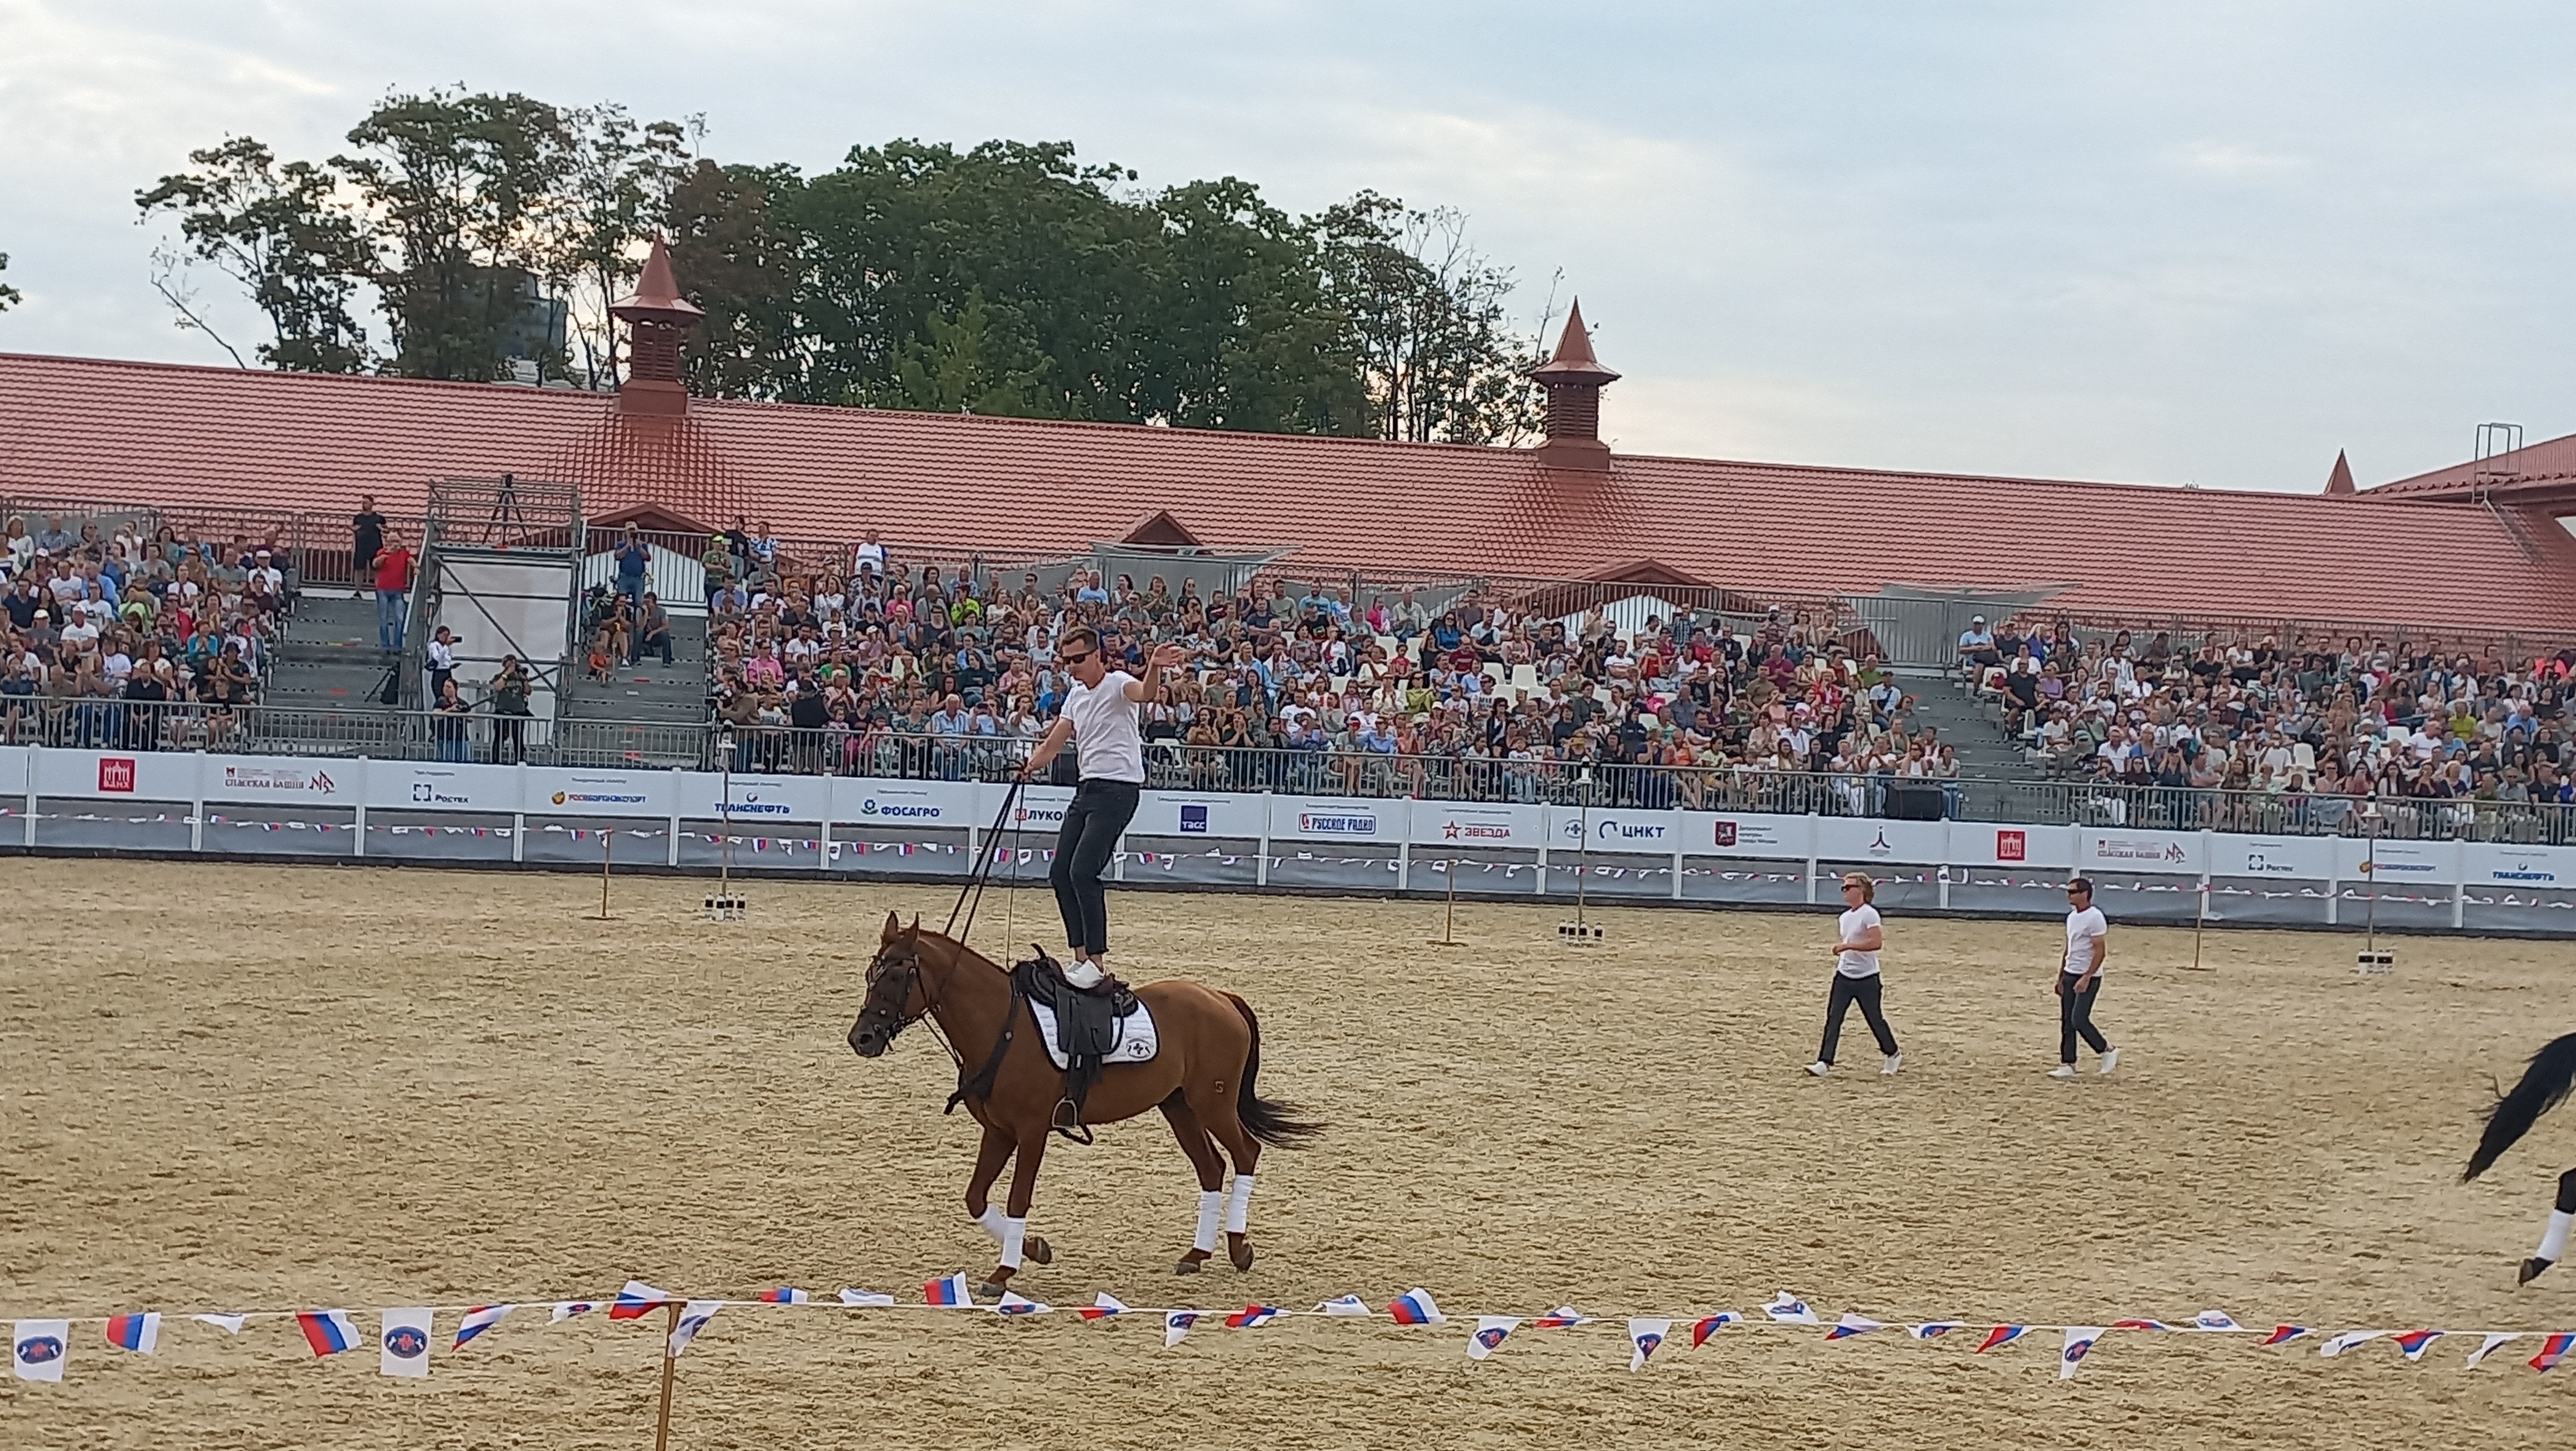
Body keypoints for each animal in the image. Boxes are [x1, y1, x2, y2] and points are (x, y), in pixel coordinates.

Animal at [850, 912, 1319, 1299]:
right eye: (872, 972)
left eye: (896, 976)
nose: (862, 1038)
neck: (1003, 1025)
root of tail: (1220, 998)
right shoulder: (999, 1131)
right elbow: (976, 1198)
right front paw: (1035, 1249)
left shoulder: (1032, 1131)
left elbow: (1018, 1198)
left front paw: (1005, 1272)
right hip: (1179, 1106)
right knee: (1212, 1168)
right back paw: (1197, 1254)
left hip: (1213, 1104)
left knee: (1246, 1153)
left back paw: (1239, 1248)